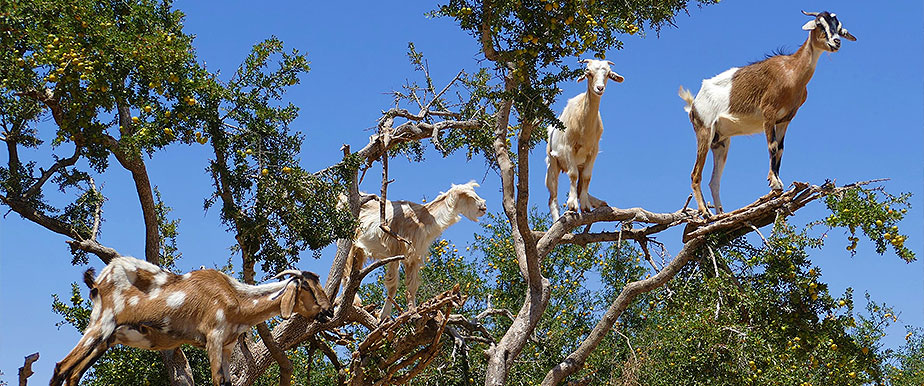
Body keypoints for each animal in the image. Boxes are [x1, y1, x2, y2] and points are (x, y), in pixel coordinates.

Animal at [50, 256, 332, 386]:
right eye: (307, 287)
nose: (328, 311)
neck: (236, 297)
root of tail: (99, 280)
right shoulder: (213, 338)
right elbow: (217, 381)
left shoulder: (228, 346)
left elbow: (227, 383)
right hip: (101, 324)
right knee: (61, 368)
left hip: (108, 337)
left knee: (73, 373)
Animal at [342, 182, 488, 322]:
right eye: (468, 195)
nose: (484, 206)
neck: (422, 219)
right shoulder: (396, 252)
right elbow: (392, 284)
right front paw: (383, 316)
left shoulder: (414, 257)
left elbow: (411, 287)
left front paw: (413, 313)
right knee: (345, 271)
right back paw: (354, 302)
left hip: (359, 249)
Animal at [544, 57, 624, 220]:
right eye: (589, 73)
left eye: (608, 74)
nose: (599, 88)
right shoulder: (568, 148)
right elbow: (572, 174)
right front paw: (572, 204)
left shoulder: (593, 152)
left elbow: (587, 177)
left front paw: (586, 205)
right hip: (552, 162)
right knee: (552, 196)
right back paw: (557, 218)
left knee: (581, 184)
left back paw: (596, 201)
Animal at [676, 10, 856, 216]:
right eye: (819, 24)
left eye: (839, 27)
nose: (836, 42)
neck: (791, 72)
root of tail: (693, 104)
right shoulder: (768, 114)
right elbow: (772, 146)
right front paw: (774, 183)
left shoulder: (785, 119)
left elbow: (781, 149)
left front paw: (778, 183)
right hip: (704, 131)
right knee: (695, 174)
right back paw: (705, 212)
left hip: (720, 142)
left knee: (714, 182)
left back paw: (721, 214)